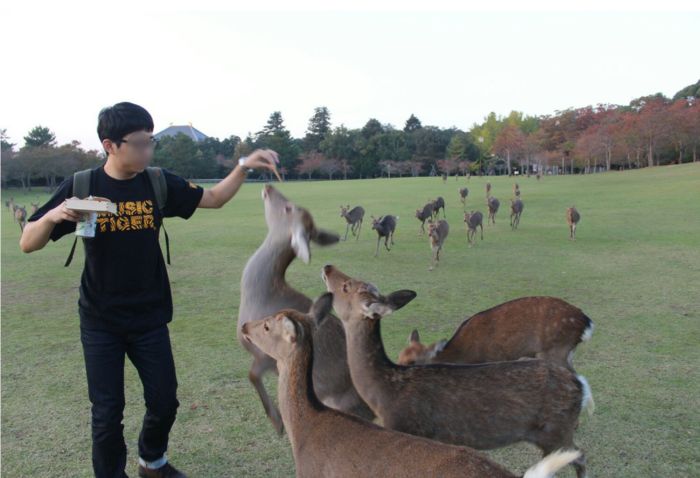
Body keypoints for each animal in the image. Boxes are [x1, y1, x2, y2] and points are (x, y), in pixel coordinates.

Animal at [238, 184, 374, 436]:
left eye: (289, 207)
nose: (268, 186)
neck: (257, 297)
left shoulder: (266, 355)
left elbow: (251, 374)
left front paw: (277, 421)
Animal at [396, 296, 592, 374]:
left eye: (412, 362)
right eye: (399, 356)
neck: (466, 355)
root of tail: (586, 322)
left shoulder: (494, 358)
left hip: (554, 350)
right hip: (566, 352)